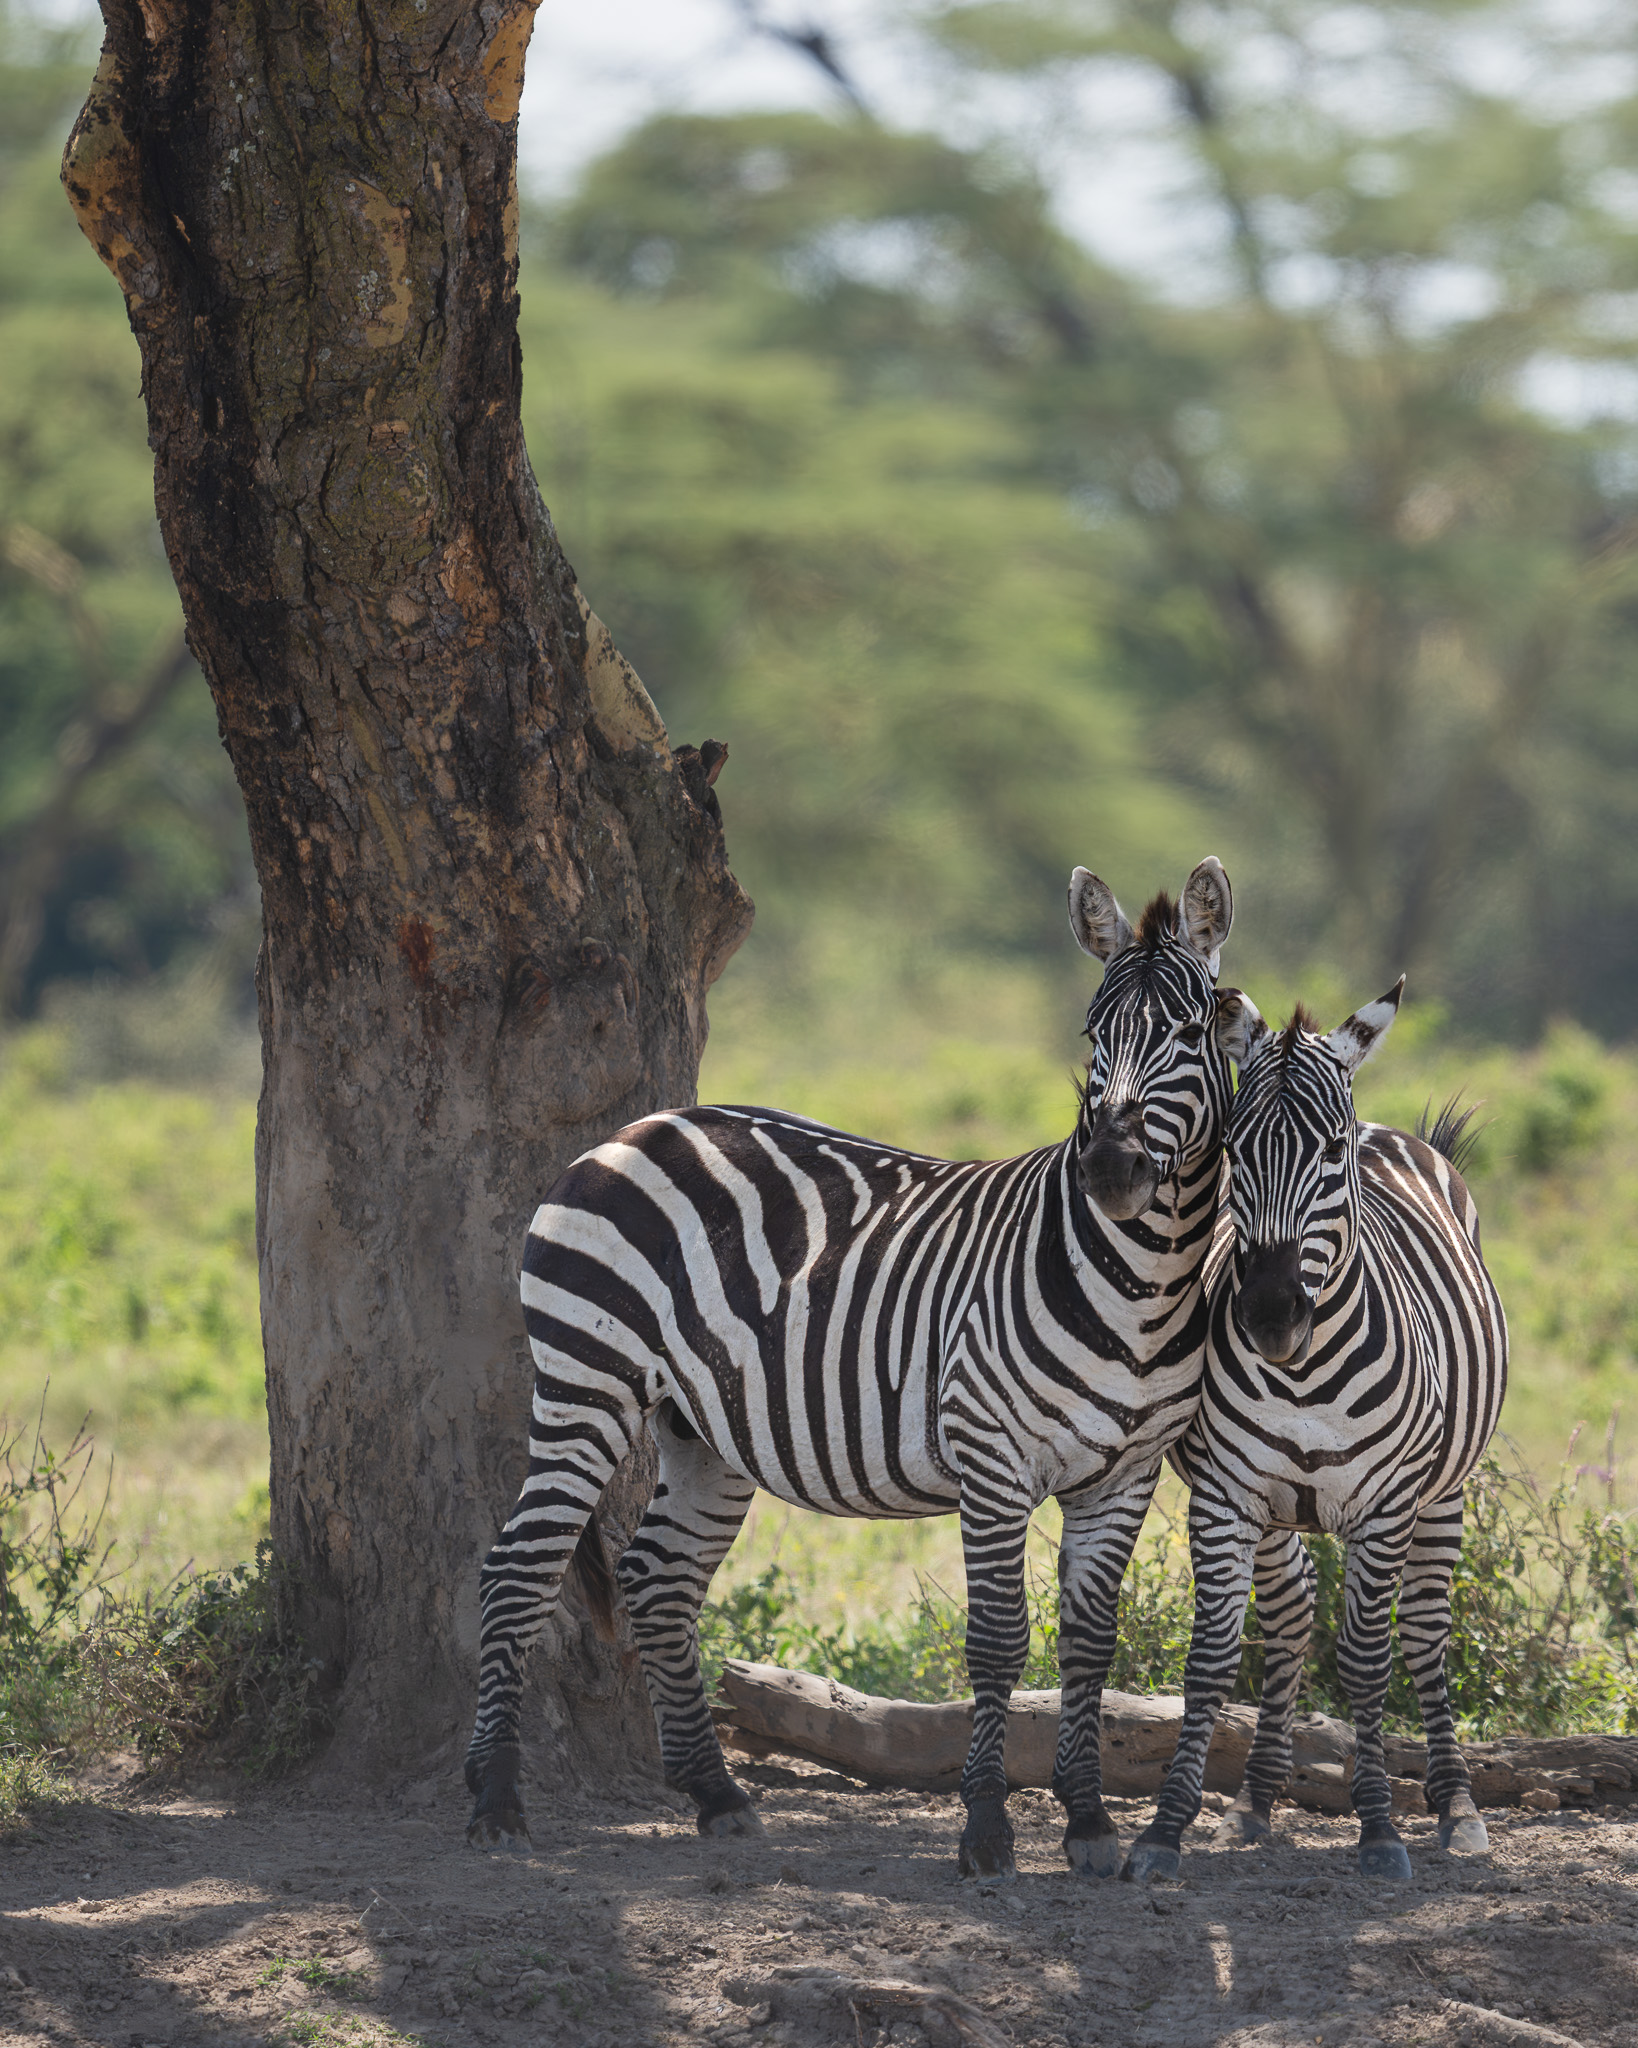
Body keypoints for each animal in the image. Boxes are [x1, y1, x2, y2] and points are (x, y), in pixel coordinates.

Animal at [464, 857, 1237, 1881]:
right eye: (1091, 1034)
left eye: (1191, 1032)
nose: (1110, 1171)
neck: (1142, 1286)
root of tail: (634, 1129)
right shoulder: (991, 1455)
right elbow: (998, 1641)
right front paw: (986, 1830)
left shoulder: (1127, 1473)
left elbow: (1088, 1644)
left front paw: (1088, 1823)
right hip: (586, 1380)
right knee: (516, 1569)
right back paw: (494, 1803)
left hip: (700, 1429)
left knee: (656, 1579)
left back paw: (716, 1796)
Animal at [1121, 980, 1507, 1885]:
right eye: (1234, 1147)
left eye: (1330, 1152)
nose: (1268, 1316)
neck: (1305, 1374)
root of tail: (1390, 1127)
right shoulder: (1226, 1495)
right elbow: (1211, 1658)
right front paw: (1165, 1829)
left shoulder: (1386, 1505)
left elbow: (1367, 1660)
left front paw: (1380, 1831)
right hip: (1276, 1510)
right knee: (1292, 1616)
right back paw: (1257, 1801)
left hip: (1445, 1492)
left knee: (1426, 1631)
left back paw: (1458, 1809)